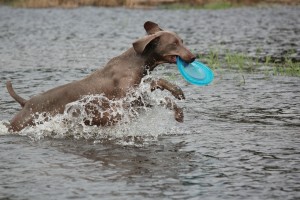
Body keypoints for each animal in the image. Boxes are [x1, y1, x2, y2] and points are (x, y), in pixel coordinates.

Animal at [6, 21, 197, 132]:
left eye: (182, 41)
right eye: (174, 43)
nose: (194, 57)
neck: (136, 62)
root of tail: (26, 103)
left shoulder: (137, 95)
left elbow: (158, 87)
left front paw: (177, 96)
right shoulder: (123, 103)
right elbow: (158, 91)